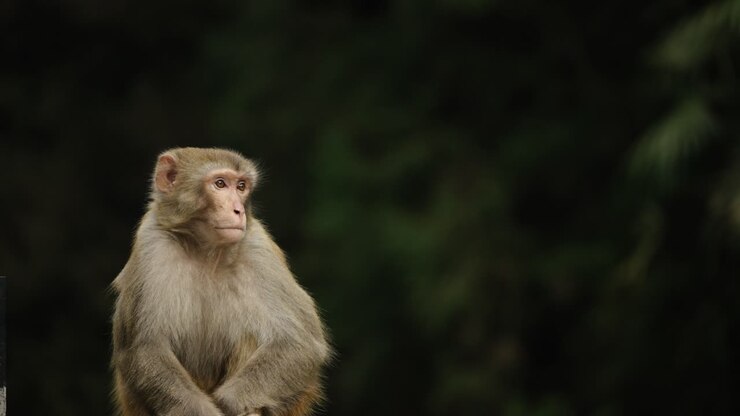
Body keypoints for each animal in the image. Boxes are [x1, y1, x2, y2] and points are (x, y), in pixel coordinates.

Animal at [111, 147, 331, 416]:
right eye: (220, 184)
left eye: (241, 186)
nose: (238, 210)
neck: (206, 251)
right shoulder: (151, 244)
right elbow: (145, 348)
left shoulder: (259, 249)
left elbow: (301, 344)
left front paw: (231, 402)